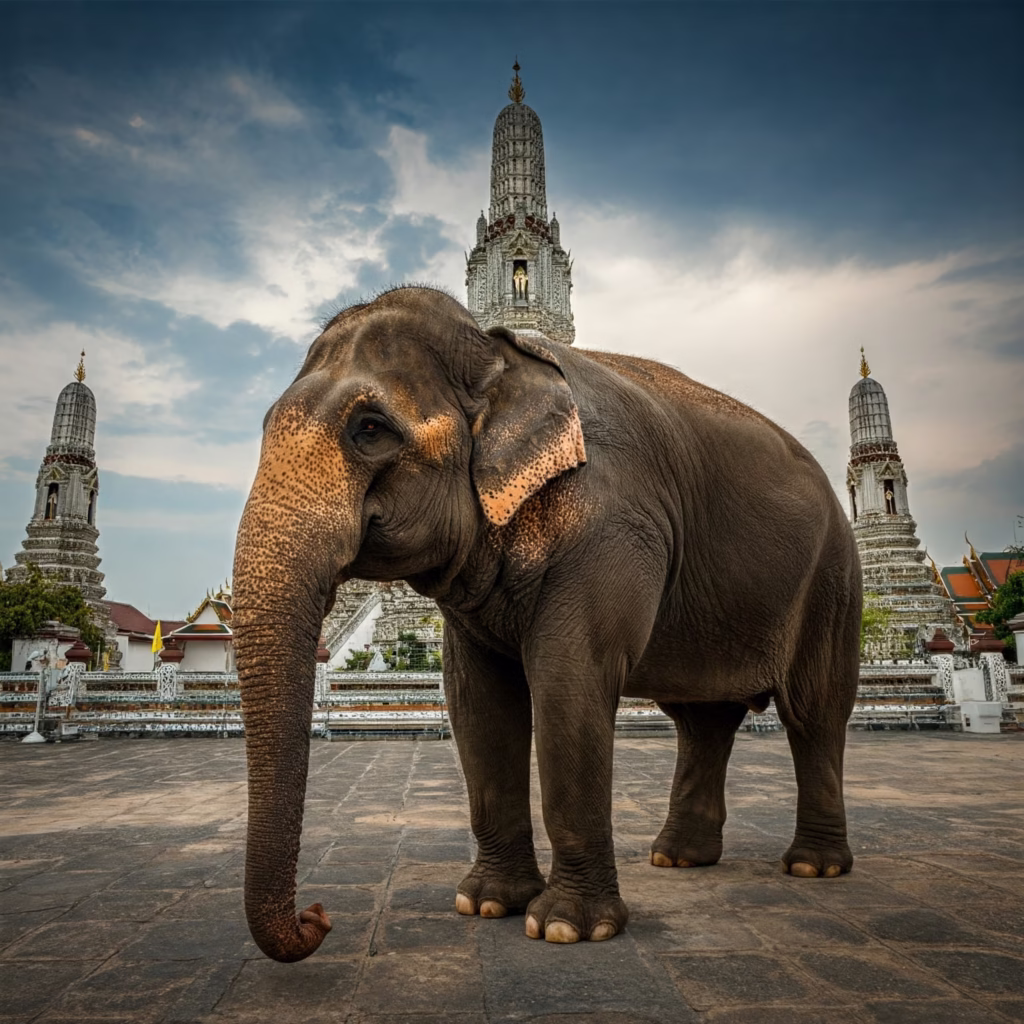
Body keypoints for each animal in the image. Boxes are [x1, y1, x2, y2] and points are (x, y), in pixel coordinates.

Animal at [232, 285, 861, 963]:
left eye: (370, 429)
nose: (318, 916)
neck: (500, 354)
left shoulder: (611, 524)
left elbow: (570, 680)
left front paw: (567, 928)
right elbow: (476, 700)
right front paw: (488, 905)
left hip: (832, 581)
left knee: (814, 712)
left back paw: (814, 867)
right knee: (703, 720)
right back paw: (678, 859)